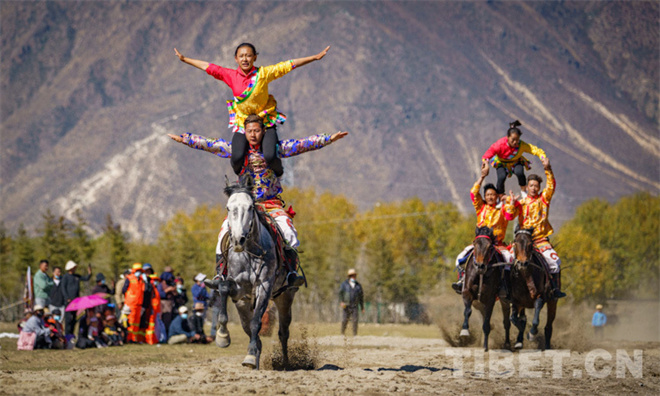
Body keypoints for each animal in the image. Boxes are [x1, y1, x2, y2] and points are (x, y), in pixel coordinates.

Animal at [213, 178, 298, 370]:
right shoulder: (237, 288)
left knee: (283, 331)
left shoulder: (264, 286)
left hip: (285, 296)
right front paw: (222, 337)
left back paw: (285, 363)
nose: (238, 240)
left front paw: (251, 356)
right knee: (247, 326)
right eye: (228, 208)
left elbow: (256, 322)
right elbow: (223, 288)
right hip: (244, 302)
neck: (249, 252)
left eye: (250, 207)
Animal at [458, 224, 510, 352]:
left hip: (504, 300)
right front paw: (464, 331)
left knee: (506, 320)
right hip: (478, 301)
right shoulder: (467, 292)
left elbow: (486, 321)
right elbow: (468, 311)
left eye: (490, 246)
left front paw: (486, 346)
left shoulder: (490, 299)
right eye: (475, 243)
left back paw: (507, 343)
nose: (480, 266)